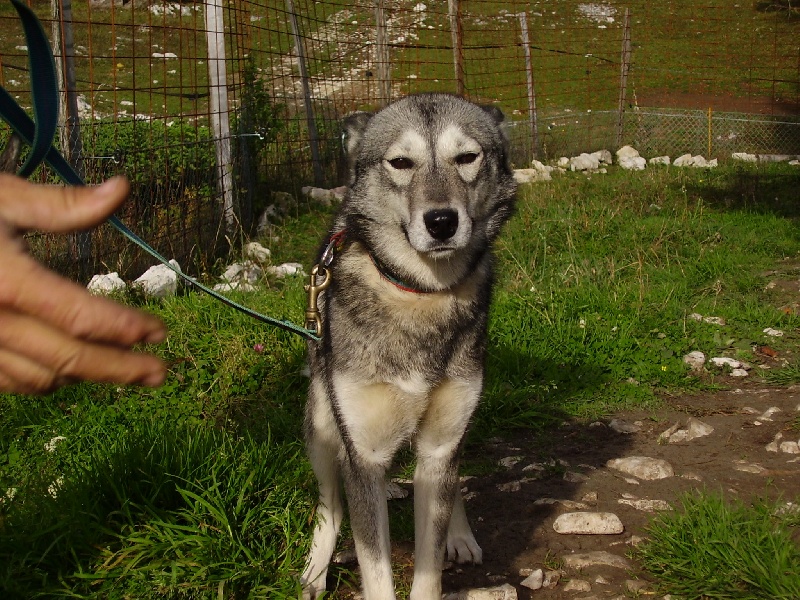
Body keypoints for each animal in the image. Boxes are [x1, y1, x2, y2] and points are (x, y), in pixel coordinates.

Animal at [302, 94, 520, 600]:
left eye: (467, 157)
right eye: (401, 163)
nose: (441, 222)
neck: (421, 293)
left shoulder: (442, 442)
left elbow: (430, 564)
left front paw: (450, 538)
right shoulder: (363, 453)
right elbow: (375, 569)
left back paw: (460, 534)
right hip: (322, 425)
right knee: (331, 505)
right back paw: (315, 568)